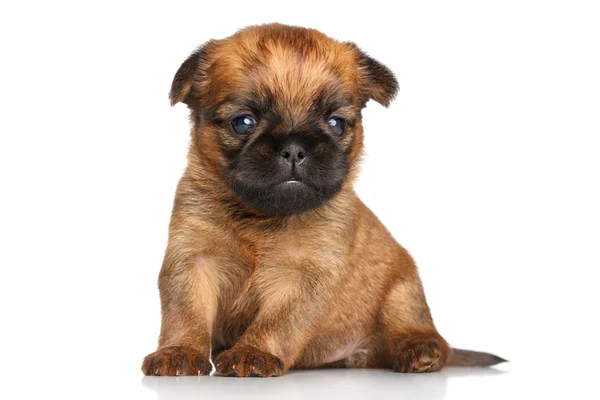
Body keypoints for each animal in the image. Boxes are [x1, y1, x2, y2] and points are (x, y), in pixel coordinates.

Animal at [143, 23, 504, 376]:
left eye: (336, 123)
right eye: (243, 122)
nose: (293, 148)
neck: (260, 218)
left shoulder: (305, 278)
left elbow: (277, 322)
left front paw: (254, 352)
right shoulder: (192, 262)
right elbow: (185, 314)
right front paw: (179, 352)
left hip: (402, 293)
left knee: (425, 336)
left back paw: (419, 351)